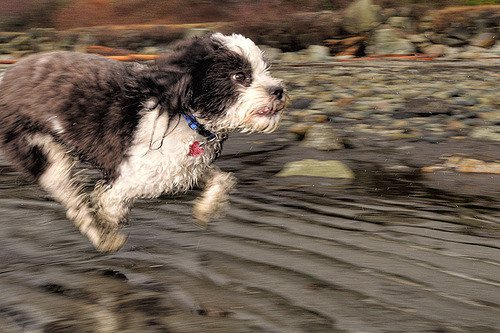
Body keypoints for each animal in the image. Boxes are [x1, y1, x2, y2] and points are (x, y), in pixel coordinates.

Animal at [0, 33, 288, 252]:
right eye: (239, 76)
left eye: (265, 69)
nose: (278, 90)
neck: (185, 113)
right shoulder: (133, 174)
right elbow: (109, 201)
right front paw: (108, 222)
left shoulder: (183, 165)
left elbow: (221, 179)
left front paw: (206, 209)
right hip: (42, 153)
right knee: (73, 200)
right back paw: (104, 239)